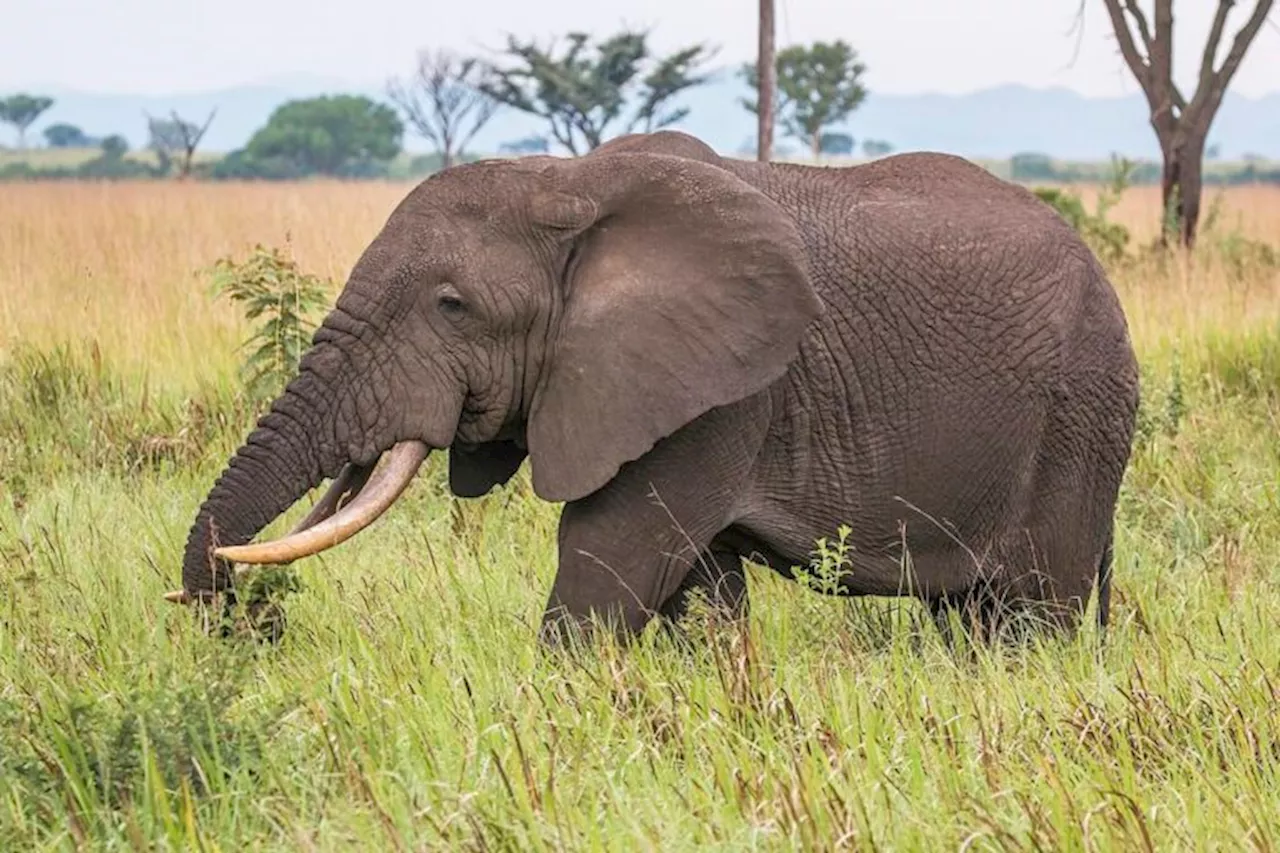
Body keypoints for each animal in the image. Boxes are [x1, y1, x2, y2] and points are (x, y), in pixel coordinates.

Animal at [167, 129, 1141, 640]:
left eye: (451, 305)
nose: (234, 617)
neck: (567, 187)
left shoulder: (726, 393)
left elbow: (609, 560)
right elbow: (697, 592)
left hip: (1078, 411)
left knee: (1030, 614)